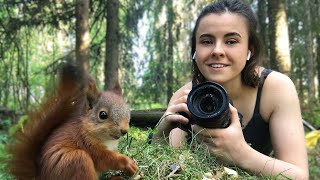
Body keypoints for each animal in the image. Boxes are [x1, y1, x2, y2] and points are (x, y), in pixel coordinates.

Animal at [5, 62, 138, 180]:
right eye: (103, 115)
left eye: (128, 111)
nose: (124, 130)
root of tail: (40, 177)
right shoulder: (86, 143)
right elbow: (105, 159)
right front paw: (127, 162)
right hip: (76, 160)